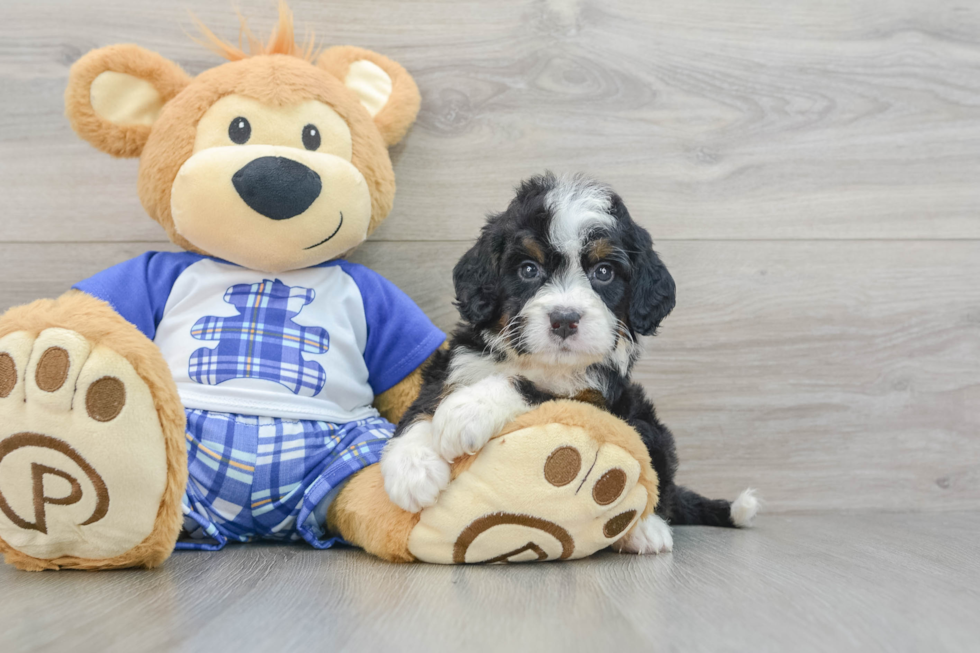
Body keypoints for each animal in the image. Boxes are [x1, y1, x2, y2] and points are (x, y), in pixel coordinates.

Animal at [380, 172, 756, 552]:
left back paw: (645, 530)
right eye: (528, 269)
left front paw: (468, 409)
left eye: (603, 272)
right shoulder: (461, 361)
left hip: (648, 426)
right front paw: (412, 466)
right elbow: (426, 402)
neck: (544, 363)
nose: (564, 319)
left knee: (659, 481)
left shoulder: (594, 398)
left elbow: (532, 389)